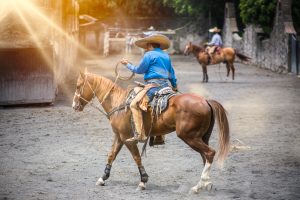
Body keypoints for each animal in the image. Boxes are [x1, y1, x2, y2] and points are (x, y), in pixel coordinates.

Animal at [72, 69, 230, 193]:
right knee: (205, 156)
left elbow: (137, 157)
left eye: (78, 86)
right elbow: (111, 155)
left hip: (189, 137)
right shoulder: (119, 136)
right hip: (202, 137)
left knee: (209, 153)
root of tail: (206, 101)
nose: (74, 106)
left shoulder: (127, 138)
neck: (119, 103)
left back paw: (198, 186)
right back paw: (206, 183)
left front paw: (143, 181)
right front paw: (102, 178)